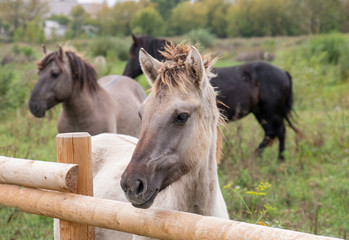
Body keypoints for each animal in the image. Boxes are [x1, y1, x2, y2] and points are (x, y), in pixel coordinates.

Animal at [121, 35, 298, 161]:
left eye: (132, 54)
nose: (125, 74)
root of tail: (283, 72)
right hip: (262, 113)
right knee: (273, 132)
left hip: (270, 112)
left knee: (278, 131)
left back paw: (277, 159)